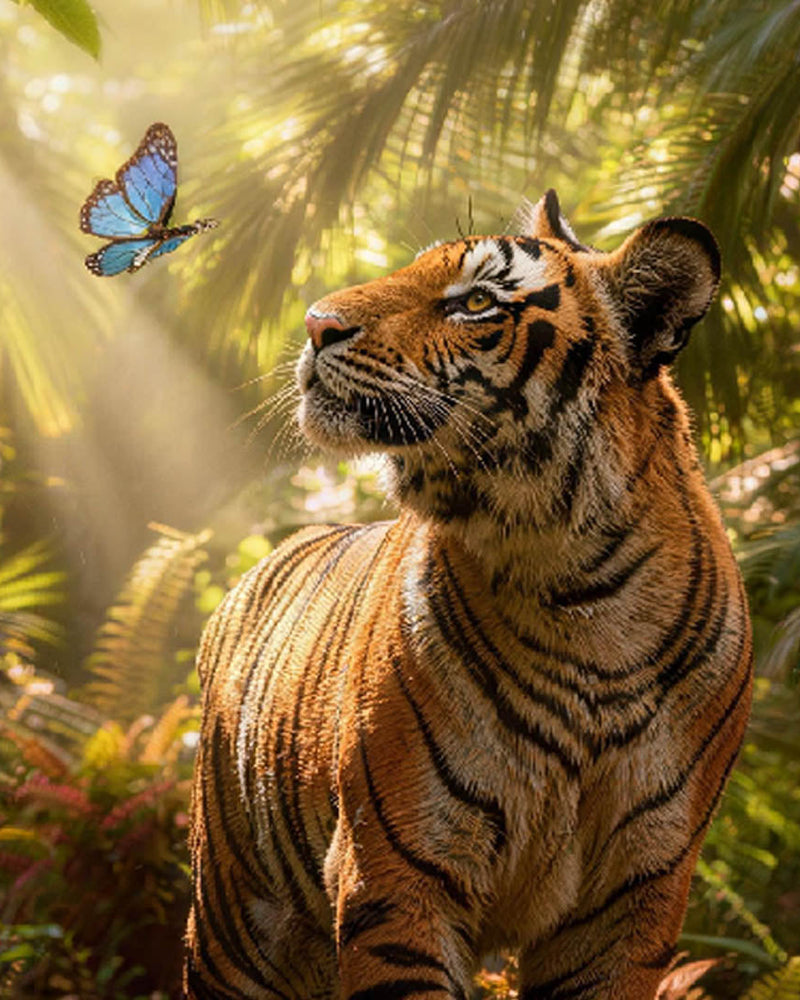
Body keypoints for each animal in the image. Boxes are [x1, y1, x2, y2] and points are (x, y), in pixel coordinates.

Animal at [184, 190, 753, 1000]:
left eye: (477, 301)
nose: (316, 323)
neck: (580, 588)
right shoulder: (398, 873)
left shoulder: (629, 901)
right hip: (235, 923)